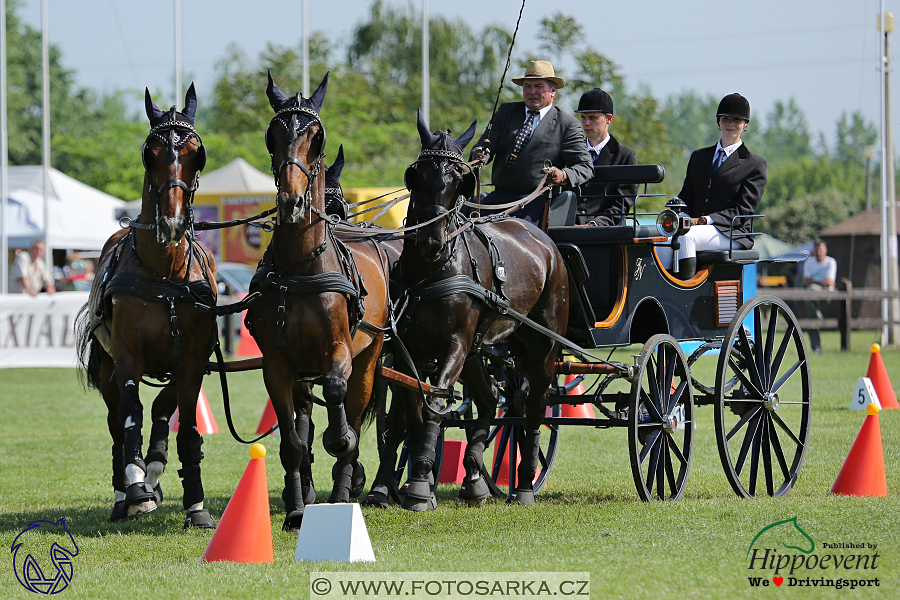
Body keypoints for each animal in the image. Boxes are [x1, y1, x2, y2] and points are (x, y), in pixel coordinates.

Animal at [76, 86, 218, 528]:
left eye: (196, 153)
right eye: (149, 152)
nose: (171, 224)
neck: (165, 276)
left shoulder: (192, 361)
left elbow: (186, 426)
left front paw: (196, 505)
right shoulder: (126, 358)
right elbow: (129, 418)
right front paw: (136, 490)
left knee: (161, 410)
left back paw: (154, 470)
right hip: (108, 369)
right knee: (117, 423)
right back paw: (127, 492)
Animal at [248, 74, 388, 528]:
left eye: (316, 136)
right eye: (273, 135)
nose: (291, 202)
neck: (301, 270)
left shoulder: (338, 350)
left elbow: (337, 396)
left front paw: (340, 443)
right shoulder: (278, 365)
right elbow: (293, 441)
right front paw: (295, 510)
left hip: (370, 357)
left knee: (354, 406)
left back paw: (346, 487)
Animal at [370, 110, 568, 508]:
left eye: (459, 181)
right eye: (416, 175)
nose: (431, 241)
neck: (432, 270)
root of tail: (544, 239)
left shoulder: (455, 344)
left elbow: (436, 401)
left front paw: (418, 486)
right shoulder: (408, 350)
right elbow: (414, 410)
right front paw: (418, 478)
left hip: (541, 345)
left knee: (535, 404)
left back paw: (524, 484)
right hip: (479, 350)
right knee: (491, 398)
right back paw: (475, 476)